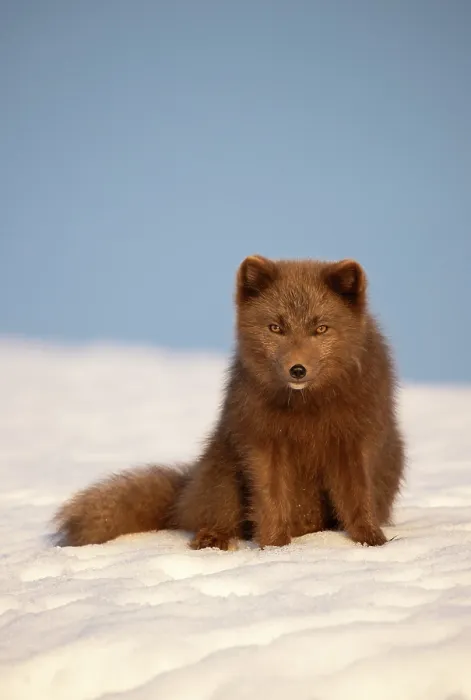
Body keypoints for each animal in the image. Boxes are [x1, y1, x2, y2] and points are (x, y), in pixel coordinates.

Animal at [54, 255, 405, 550]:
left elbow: (358, 497)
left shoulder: (354, 441)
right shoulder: (264, 444)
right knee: (217, 518)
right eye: (275, 328)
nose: (297, 369)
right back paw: (212, 539)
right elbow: (271, 501)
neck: (308, 409)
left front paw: (371, 541)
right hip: (223, 470)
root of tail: (185, 492)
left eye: (321, 328)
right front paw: (276, 548)